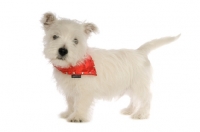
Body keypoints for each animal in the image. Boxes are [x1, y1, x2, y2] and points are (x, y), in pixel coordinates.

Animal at [41, 12, 181, 122]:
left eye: (76, 40)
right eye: (55, 36)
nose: (63, 51)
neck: (75, 65)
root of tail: (140, 52)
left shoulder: (84, 91)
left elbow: (80, 103)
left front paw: (77, 117)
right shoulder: (70, 90)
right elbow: (71, 103)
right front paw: (69, 113)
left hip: (139, 84)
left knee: (146, 98)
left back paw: (141, 114)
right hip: (131, 85)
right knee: (134, 98)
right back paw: (129, 110)